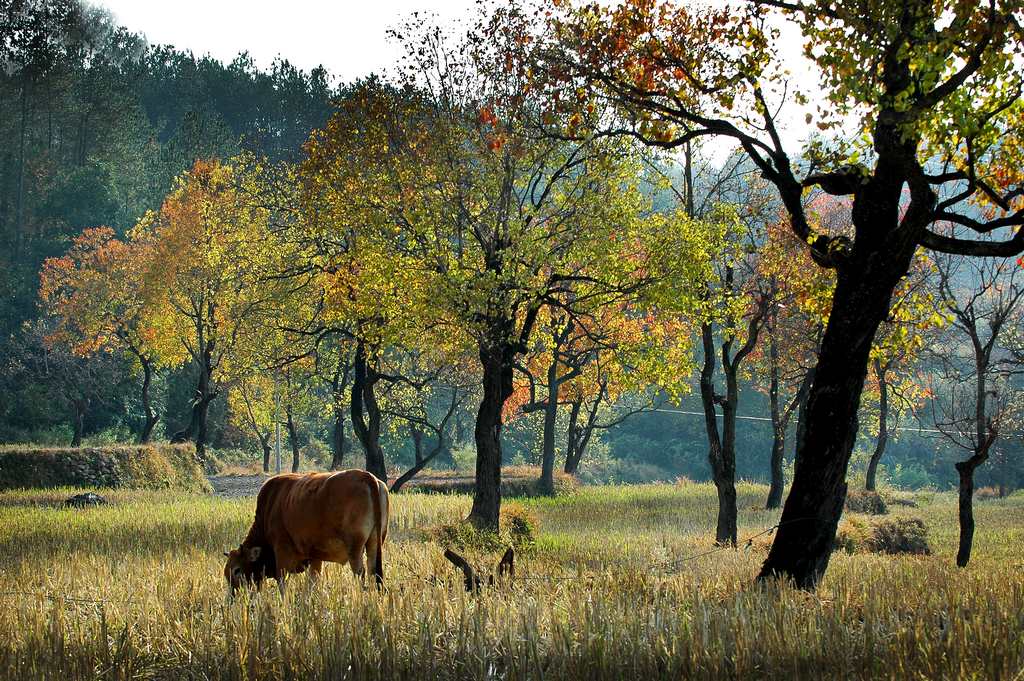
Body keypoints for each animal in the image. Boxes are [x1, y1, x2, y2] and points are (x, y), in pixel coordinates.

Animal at [223, 471, 387, 593]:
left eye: (236, 570)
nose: (232, 595)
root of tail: (366, 476)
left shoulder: (282, 553)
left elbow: (283, 584)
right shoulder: (315, 557)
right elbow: (312, 583)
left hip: (354, 550)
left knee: (360, 574)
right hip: (374, 544)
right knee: (374, 573)